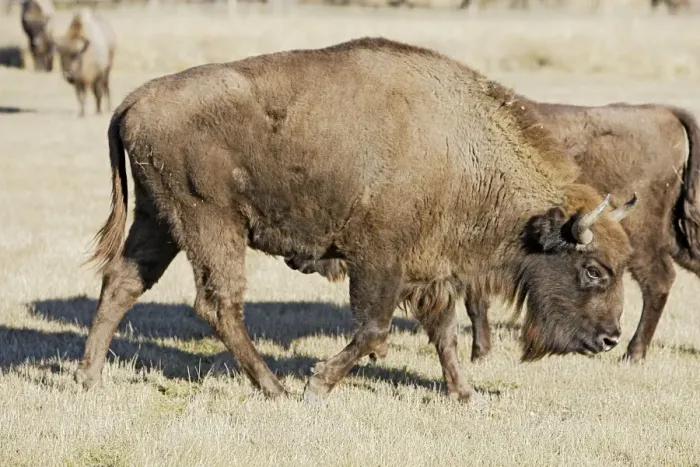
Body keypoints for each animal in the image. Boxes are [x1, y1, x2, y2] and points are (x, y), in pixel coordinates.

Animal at [77, 37, 637, 404]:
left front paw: (465, 394)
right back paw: (276, 389)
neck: (459, 148)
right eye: (593, 270)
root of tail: (134, 101)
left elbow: (444, 334)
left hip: (158, 221)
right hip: (210, 224)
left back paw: (90, 379)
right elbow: (374, 328)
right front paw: (316, 384)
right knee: (218, 303)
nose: (611, 339)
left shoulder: (429, 271)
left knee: (123, 283)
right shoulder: (378, 261)